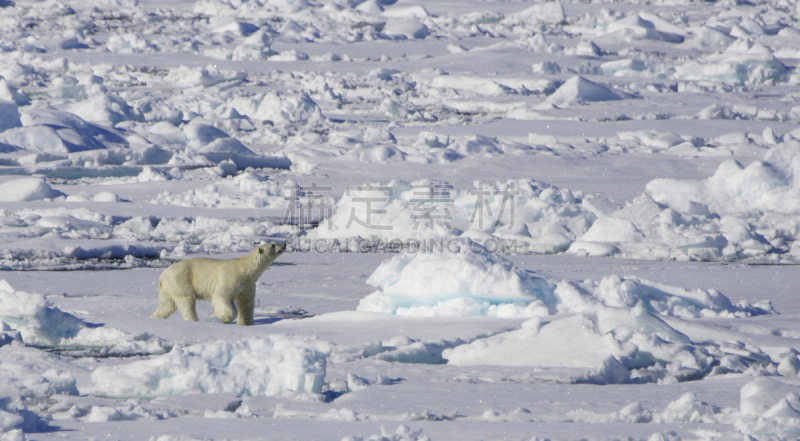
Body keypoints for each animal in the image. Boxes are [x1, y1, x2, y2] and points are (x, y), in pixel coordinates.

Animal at [152, 242, 286, 324]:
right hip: (180, 280)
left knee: (166, 305)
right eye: (273, 245)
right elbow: (221, 297)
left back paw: (155, 318)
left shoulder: (247, 284)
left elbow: (246, 303)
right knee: (186, 301)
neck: (244, 269)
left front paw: (246, 323)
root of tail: (162, 275)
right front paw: (217, 318)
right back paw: (194, 320)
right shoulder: (231, 279)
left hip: (169, 287)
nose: (284, 244)